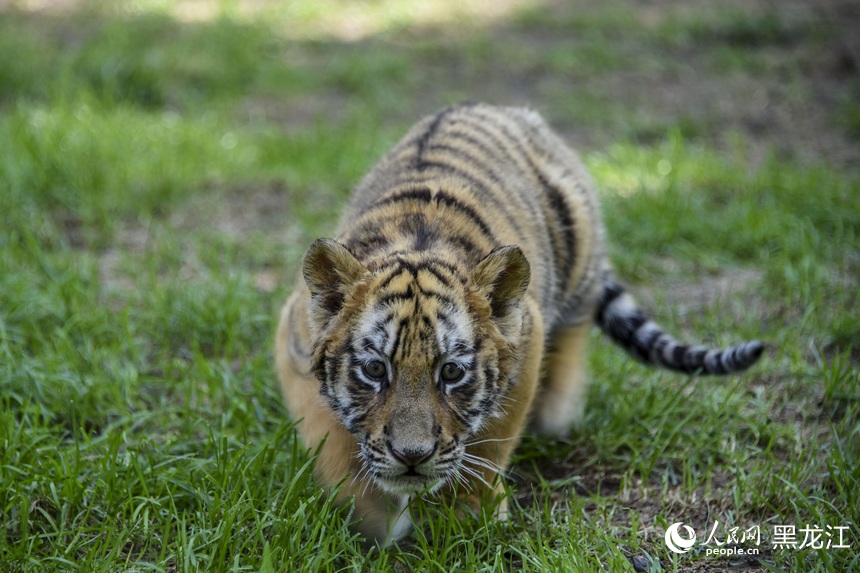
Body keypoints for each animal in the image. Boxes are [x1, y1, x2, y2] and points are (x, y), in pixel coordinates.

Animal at [274, 103, 764, 545]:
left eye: (452, 372)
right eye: (375, 370)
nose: (412, 456)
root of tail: (503, 108)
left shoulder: (527, 341)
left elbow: (491, 444)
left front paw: (467, 520)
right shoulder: (294, 341)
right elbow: (330, 441)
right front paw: (370, 517)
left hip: (577, 254)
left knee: (575, 327)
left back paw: (556, 412)